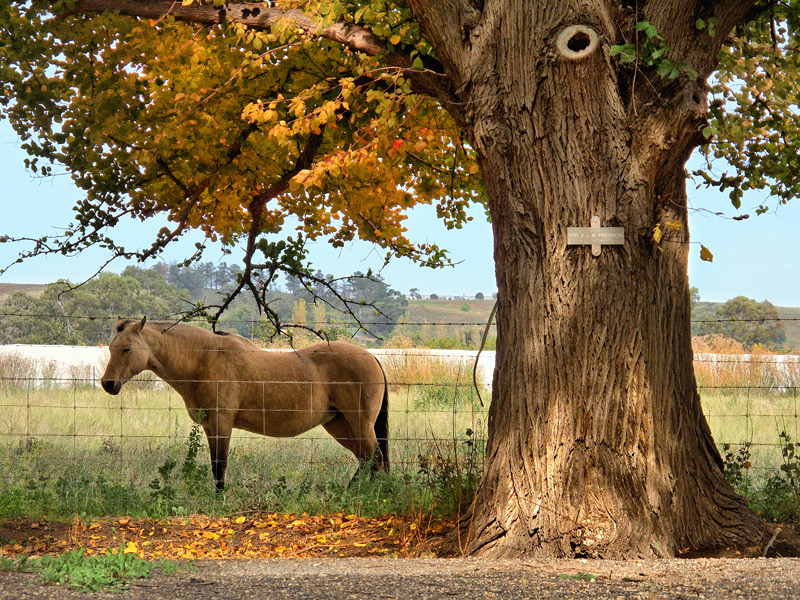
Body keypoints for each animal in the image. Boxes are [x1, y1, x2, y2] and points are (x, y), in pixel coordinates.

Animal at [101, 316, 390, 490]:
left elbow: (220, 466)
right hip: (340, 425)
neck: (203, 360)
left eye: (127, 348)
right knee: (367, 460)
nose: (107, 384)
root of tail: (373, 357)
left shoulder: (222, 424)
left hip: (359, 423)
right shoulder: (209, 427)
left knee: (375, 459)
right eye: (111, 348)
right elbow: (215, 466)